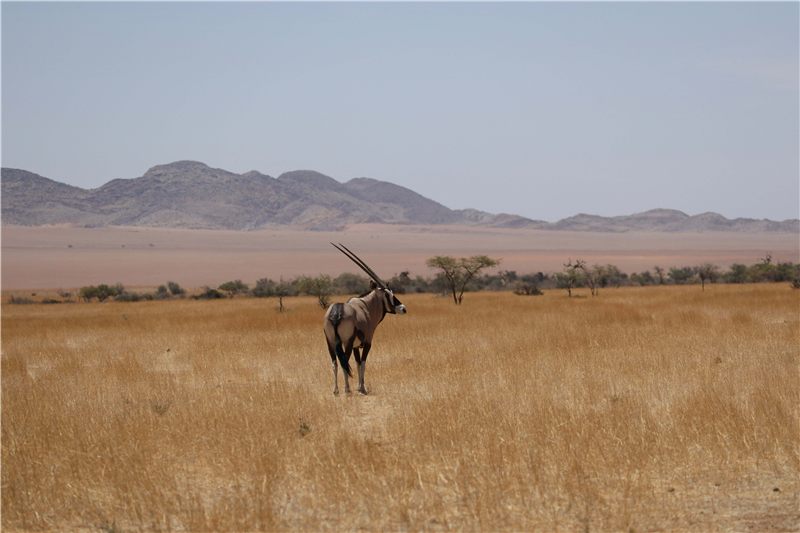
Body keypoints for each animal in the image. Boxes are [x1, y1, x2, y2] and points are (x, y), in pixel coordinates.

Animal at [324, 243, 407, 395]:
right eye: (388, 294)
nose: (403, 308)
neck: (366, 306)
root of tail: (337, 311)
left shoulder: (356, 346)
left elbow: (357, 364)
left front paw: (359, 386)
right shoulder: (367, 342)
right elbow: (362, 363)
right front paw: (362, 388)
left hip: (330, 342)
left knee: (335, 363)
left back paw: (336, 390)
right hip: (347, 342)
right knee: (344, 361)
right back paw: (347, 389)